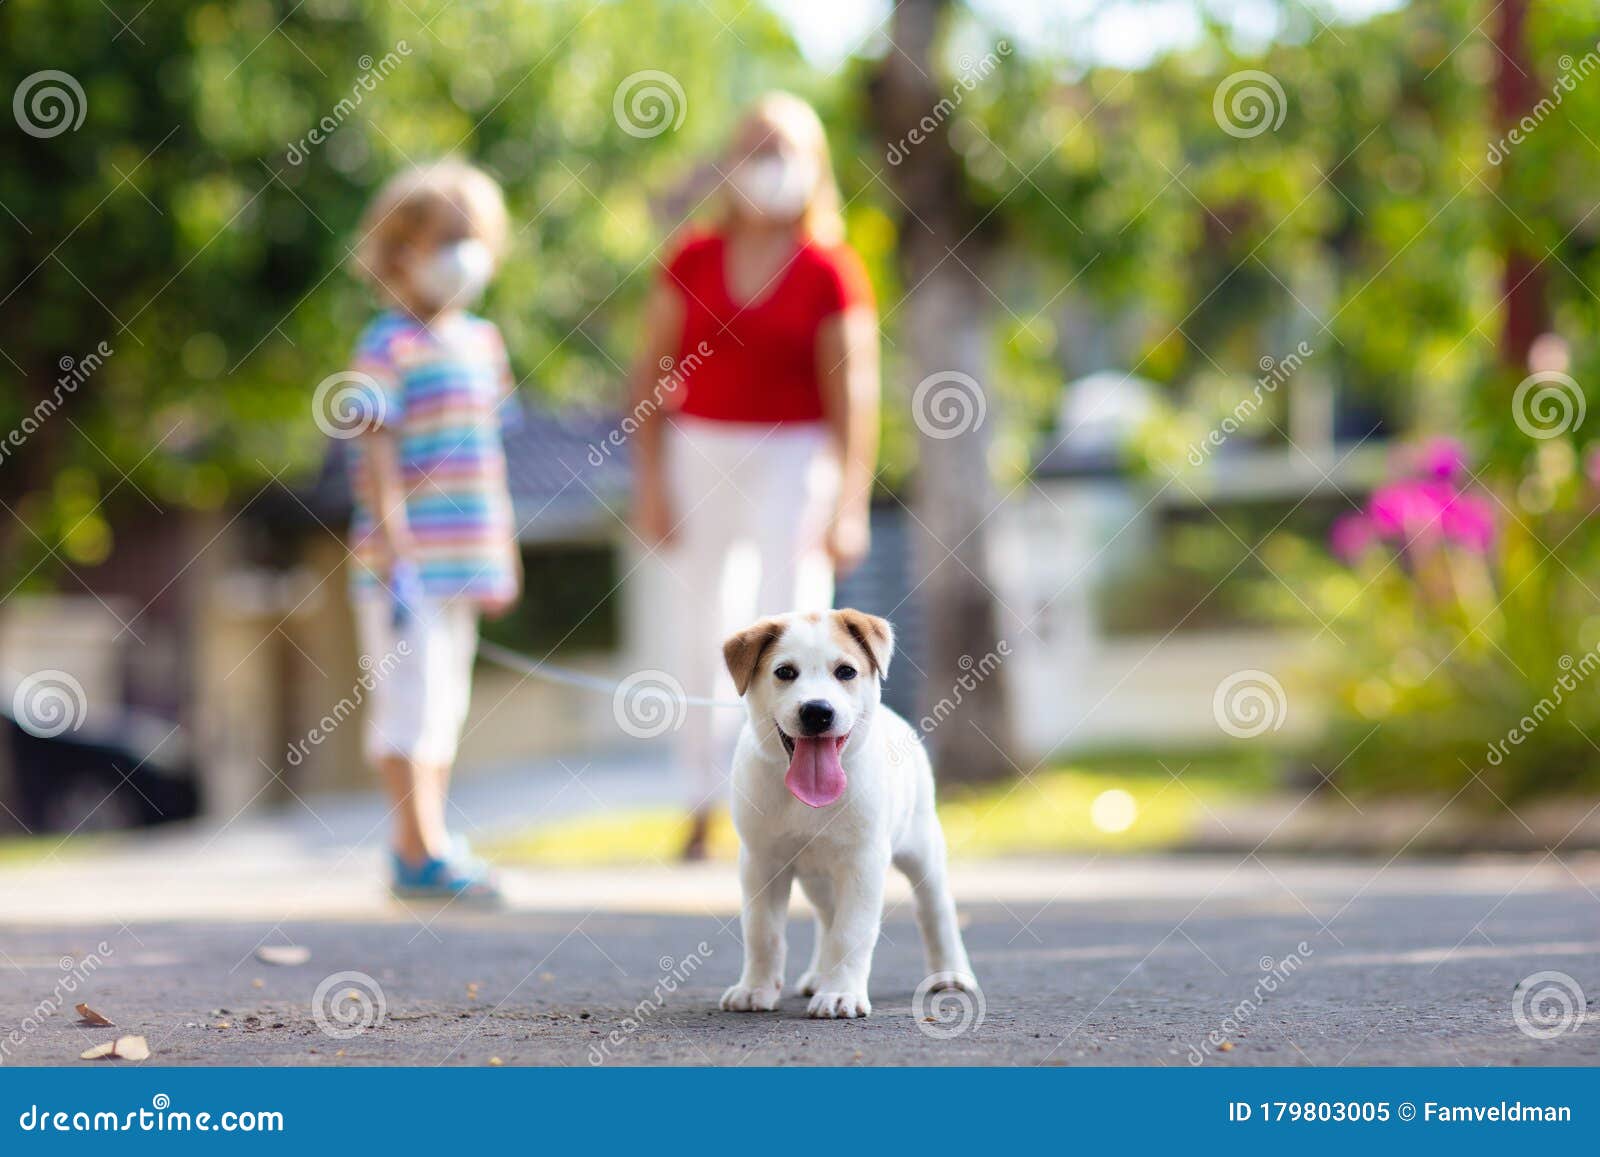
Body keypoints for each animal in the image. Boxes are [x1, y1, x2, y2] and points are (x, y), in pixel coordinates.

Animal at [723, 611, 972, 1017]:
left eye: (846, 672)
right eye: (784, 672)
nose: (817, 711)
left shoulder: (862, 863)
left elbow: (850, 932)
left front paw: (841, 994)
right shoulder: (761, 862)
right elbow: (763, 932)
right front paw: (755, 988)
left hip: (923, 852)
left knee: (935, 911)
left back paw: (951, 973)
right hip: (817, 878)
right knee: (826, 916)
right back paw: (817, 976)